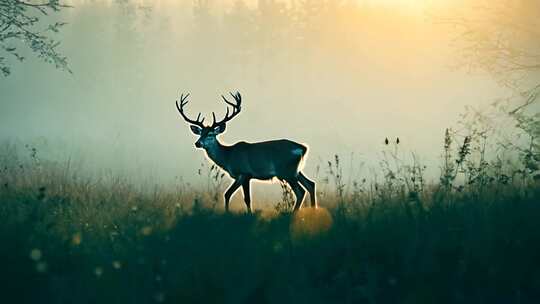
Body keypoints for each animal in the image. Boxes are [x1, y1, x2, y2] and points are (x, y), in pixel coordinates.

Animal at [175, 91, 314, 213]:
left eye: (210, 134)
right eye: (200, 133)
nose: (198, 143)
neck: (228, 156)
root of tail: (302, 148)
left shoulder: (245, 173)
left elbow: (246, 199)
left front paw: (249, 214)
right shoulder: (239, 176)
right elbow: (227, 194)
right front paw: (227, 213)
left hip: (287, 171)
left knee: (301, 191)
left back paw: (295, 213)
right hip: (296, 171)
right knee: (311, 184)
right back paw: (314, 210)